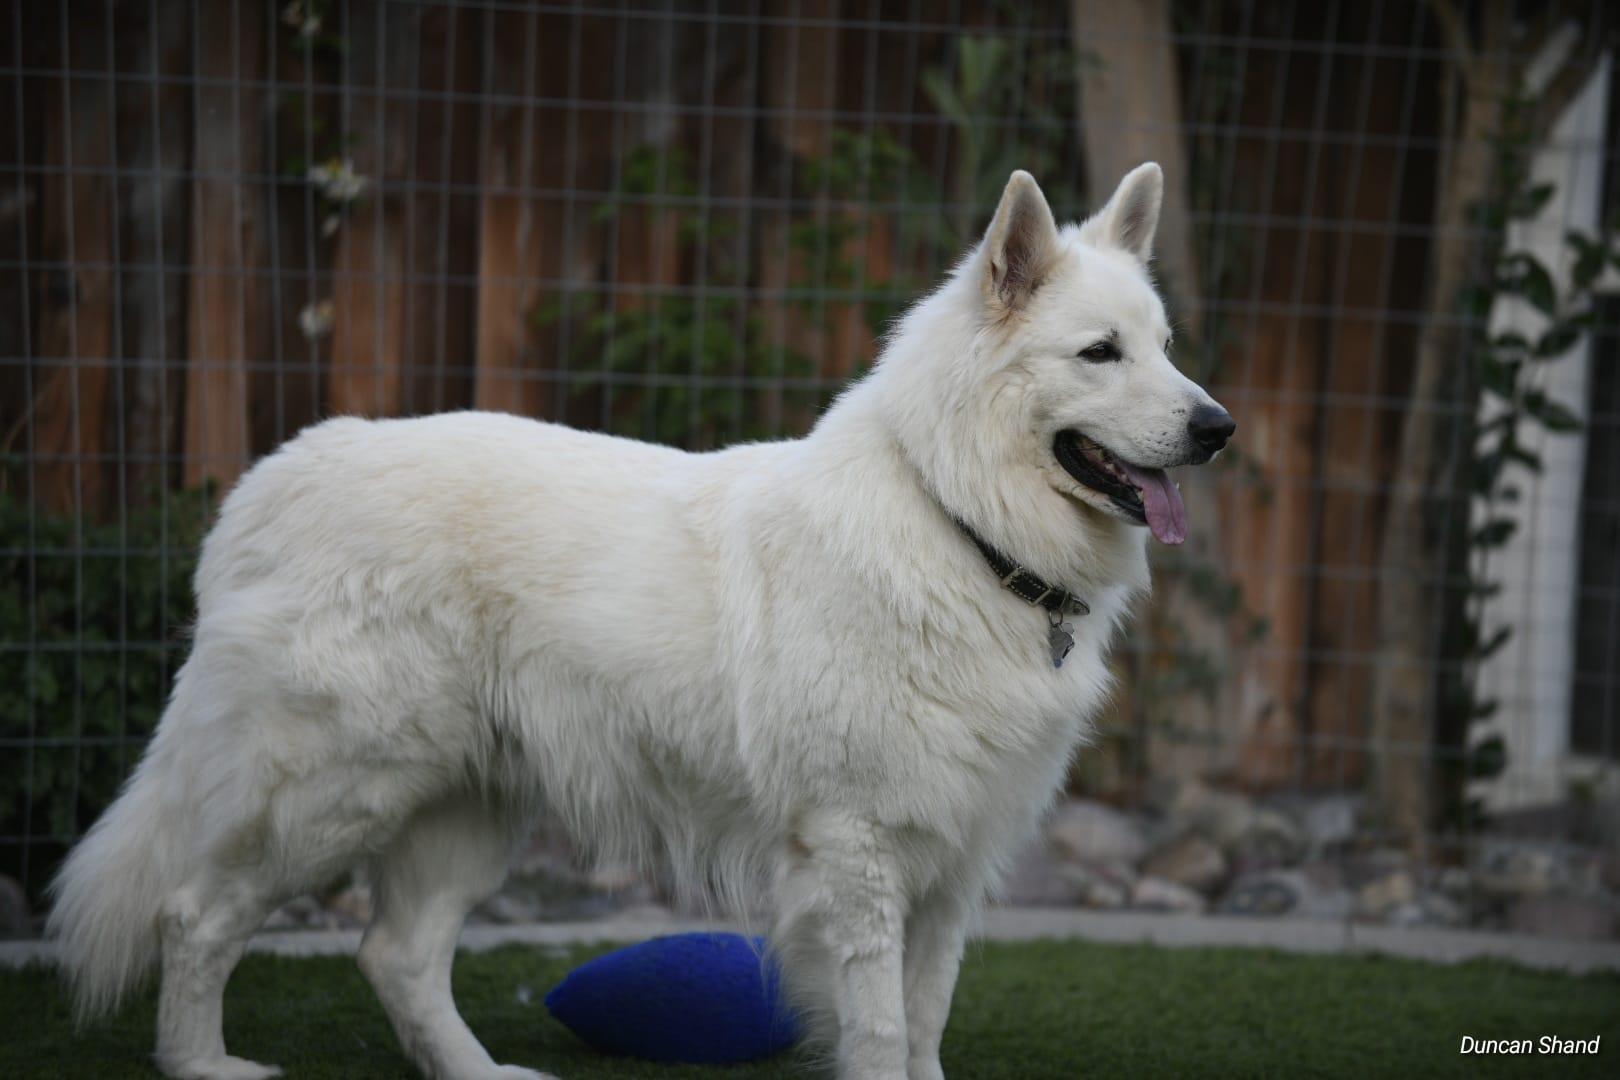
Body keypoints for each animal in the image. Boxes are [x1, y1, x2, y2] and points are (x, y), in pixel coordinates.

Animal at [49, 164, 1231, 1080]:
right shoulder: (859, 854)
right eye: (1099, 353)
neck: (958, 524)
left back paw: (480, 1074)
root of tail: (271, 480)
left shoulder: (953, 864)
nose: (1218, 428)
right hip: (332, 794)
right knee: (194, 915)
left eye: (1168, 346)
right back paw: (202, 1063)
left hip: (465, 808)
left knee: (395, 955)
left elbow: (927, 1021)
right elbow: (885, 1032)